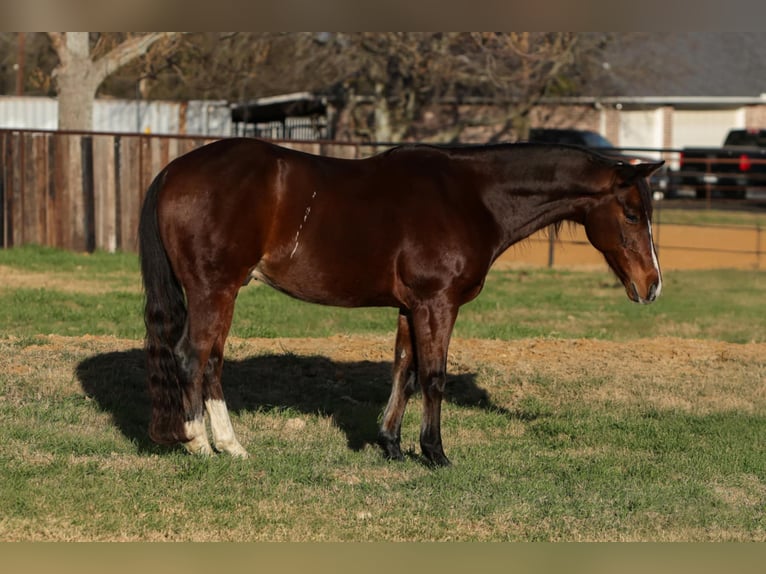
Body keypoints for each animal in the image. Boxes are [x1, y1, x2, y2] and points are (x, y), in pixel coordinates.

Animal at [138, 137, 663, 467]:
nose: (652, 285)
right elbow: (433, 376)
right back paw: (199, 444)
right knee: (193, 358)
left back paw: (229, 445)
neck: (471, 198)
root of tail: (172, 171)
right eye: (631, 213)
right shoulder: (438, 303)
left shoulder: (411, 307)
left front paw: (390, 445)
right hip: (214, 290)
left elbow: (403, 373)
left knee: (211, 361)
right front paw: (435, 453)